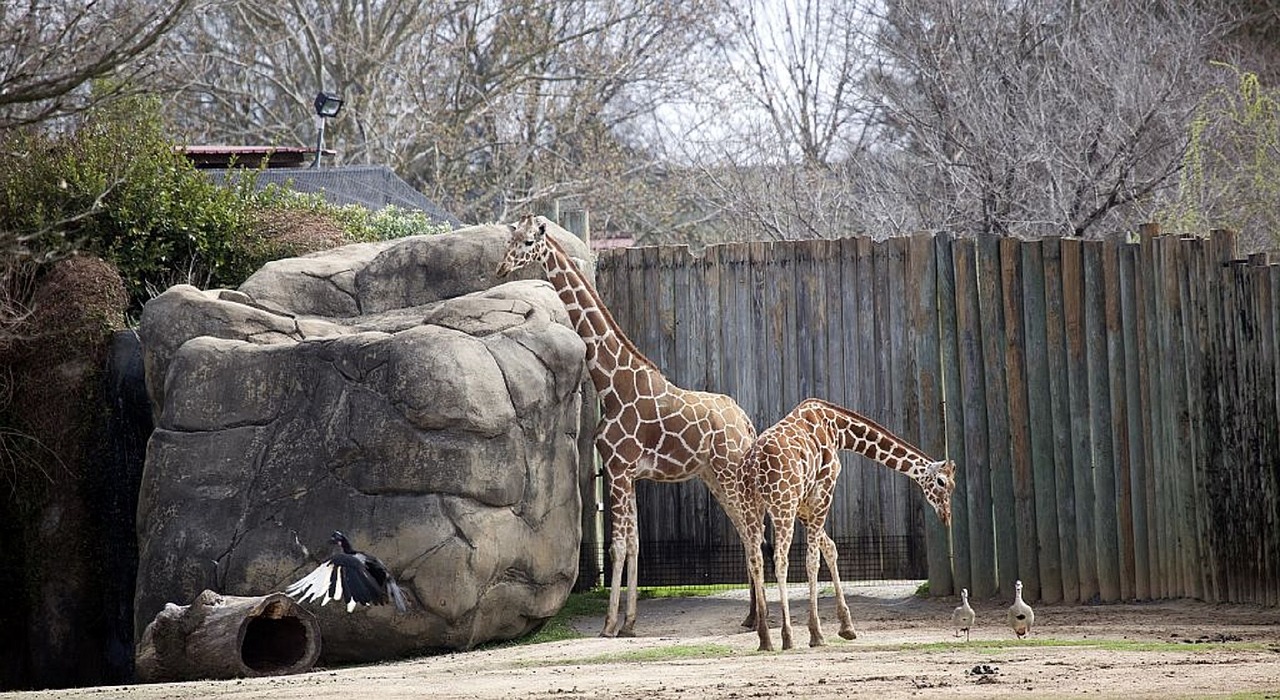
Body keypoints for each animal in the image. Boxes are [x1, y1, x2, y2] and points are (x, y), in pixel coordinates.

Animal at [491, 216, 752, 637]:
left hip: (728, 472)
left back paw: (761, 618)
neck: (613, 384)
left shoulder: (617, 468)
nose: (500, 268)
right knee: (749, 530)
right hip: (713, 475)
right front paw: (629, 622)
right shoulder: (628, 474)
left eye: (529, 241)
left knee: (752, 529)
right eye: (510, 238)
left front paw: (610, 624)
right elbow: (634, 544)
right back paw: (752, 617)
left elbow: (618, 546)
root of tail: (744, 421)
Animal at [747, 399, 957, 652]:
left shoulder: (805, 504)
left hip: (750, 507)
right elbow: (813, 560)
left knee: (755, 560)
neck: (837, 429)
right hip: (782, 505)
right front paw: (816, 633)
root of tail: (755, 463)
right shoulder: (823, 490)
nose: (946, 516)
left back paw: (765, 638)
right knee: (780, 558)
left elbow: (830, 549)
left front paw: (846, 626)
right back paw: (787, 636)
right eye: (941, 482)